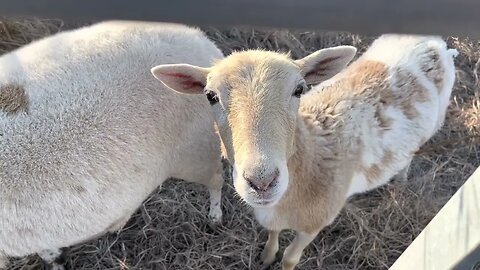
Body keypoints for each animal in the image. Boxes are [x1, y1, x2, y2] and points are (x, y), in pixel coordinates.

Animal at [153, 33, 458, 268]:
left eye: (299, 89)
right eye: (210, 96)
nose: (262, 182)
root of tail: (432, 41)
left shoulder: (316, 222)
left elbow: (290, 257)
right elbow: (273, 234)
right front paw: (266, 257)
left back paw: (401, 178)